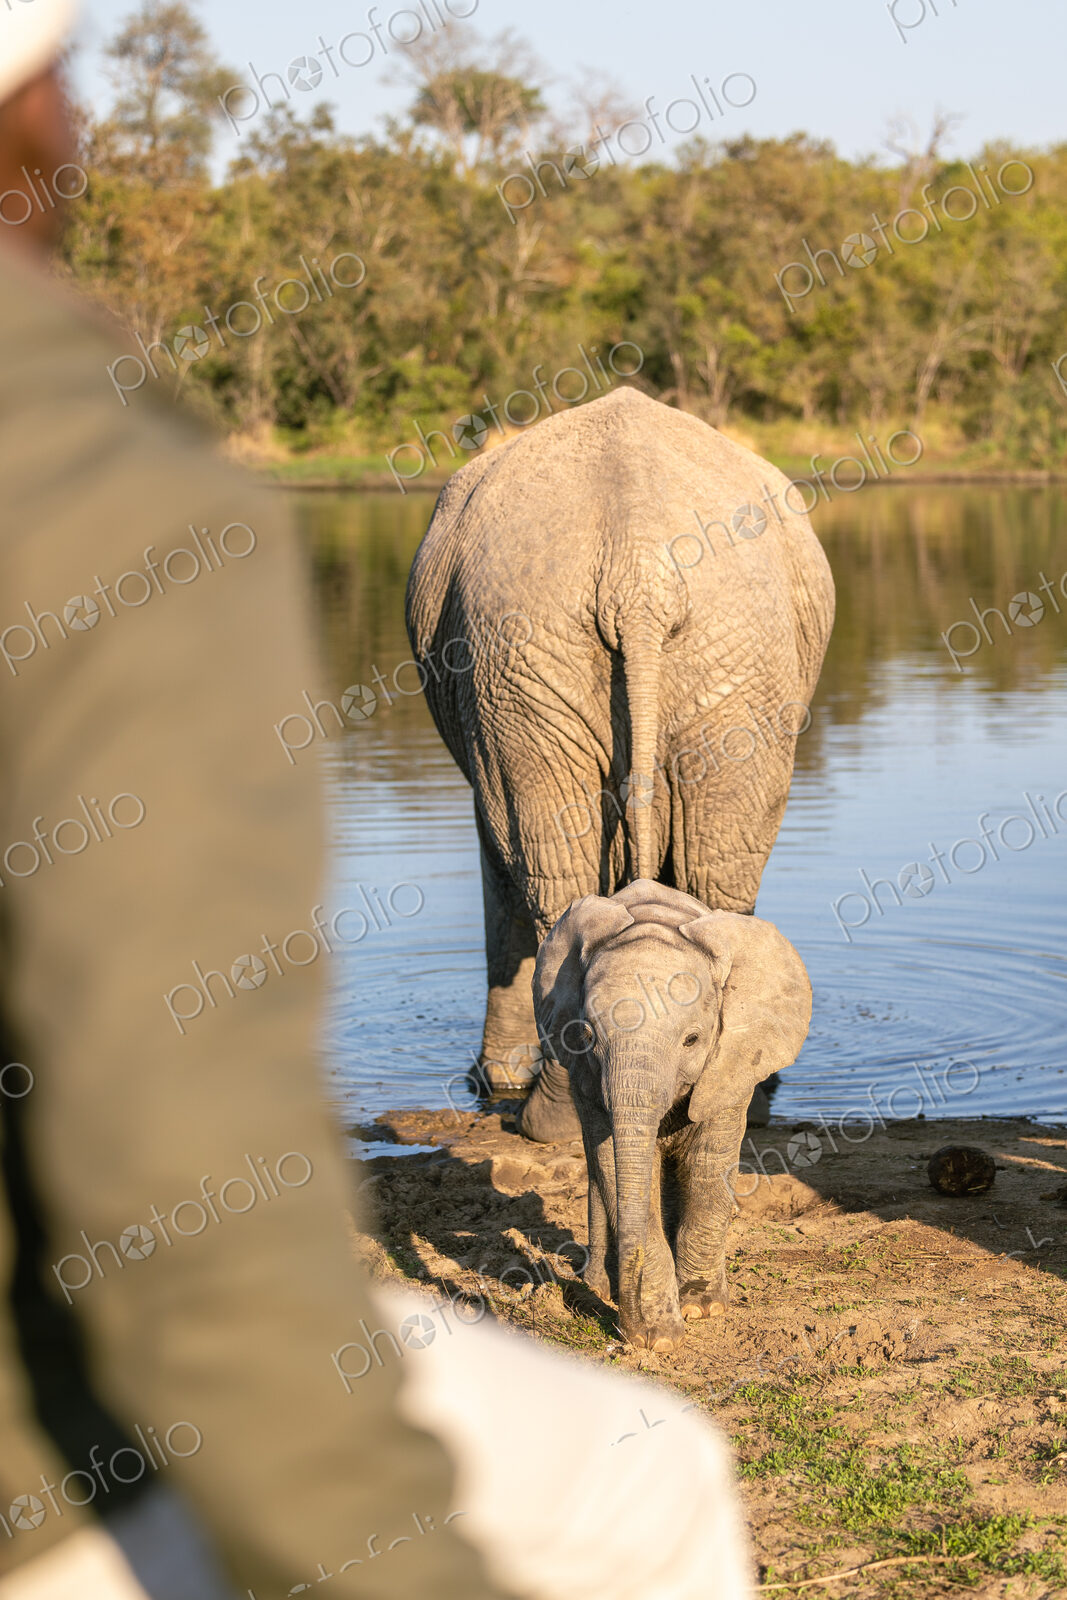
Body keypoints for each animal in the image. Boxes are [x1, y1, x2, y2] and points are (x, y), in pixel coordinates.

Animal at [532, 878, 812, 1351]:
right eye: (587, 1036)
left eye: (692, 1040)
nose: (631, 1332)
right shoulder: (586, 1079)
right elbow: (617, 1170)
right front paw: (661, 1335)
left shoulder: (731, 1060)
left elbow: (707, 1164)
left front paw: (701, 1309)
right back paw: (599, 1286)